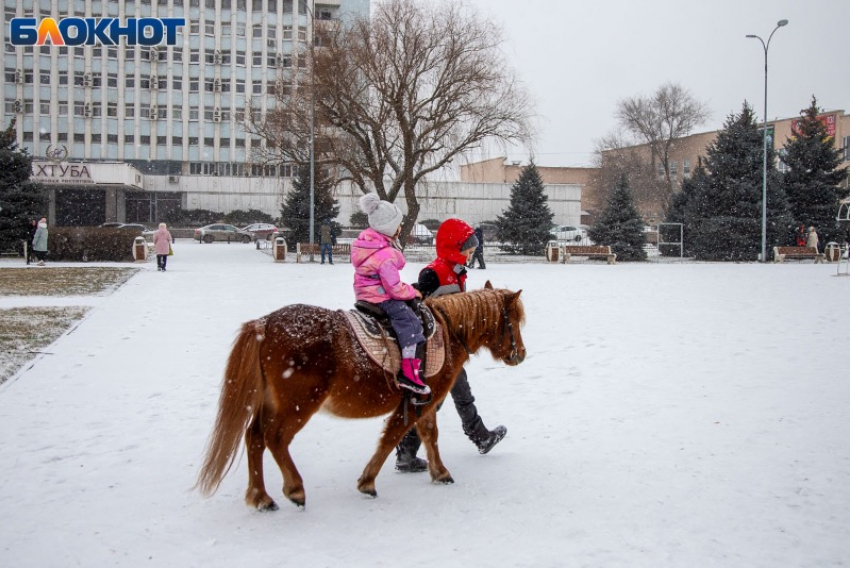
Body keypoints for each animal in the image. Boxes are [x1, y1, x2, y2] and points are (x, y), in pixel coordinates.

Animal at [195, 284, 524, 510]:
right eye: (514, 321)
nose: (520, 353)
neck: (447, 331)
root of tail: (265, 324)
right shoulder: (419, 401)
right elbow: (392, 437)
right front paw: (367, 482)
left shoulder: (425, 403)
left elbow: (429, 435)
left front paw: (439, 472)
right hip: (298, 404)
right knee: (275, 438)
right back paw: (294, 489)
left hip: (271, 401)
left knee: (254, 437)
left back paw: (261, 497)